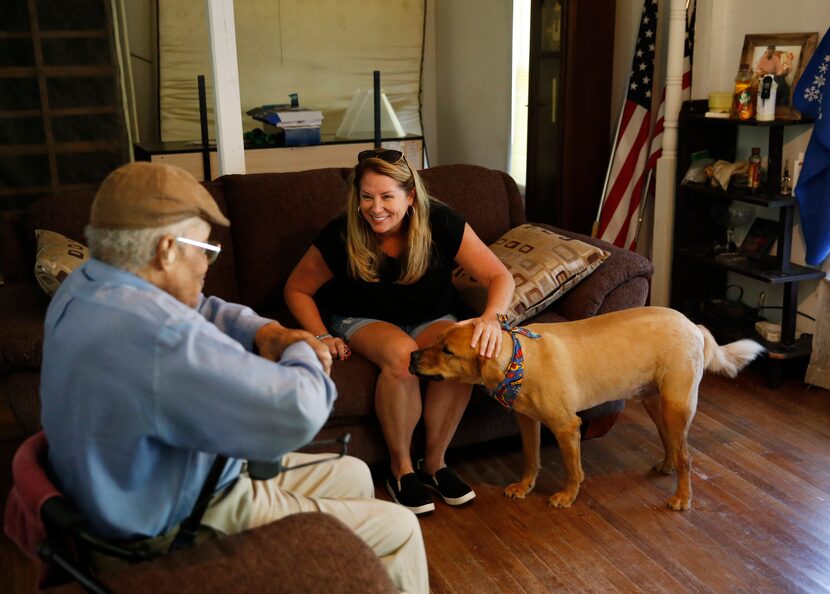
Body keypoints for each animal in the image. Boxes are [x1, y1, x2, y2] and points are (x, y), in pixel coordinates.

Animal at [410, 306, 768, 508]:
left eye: (447, 351)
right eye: (436, 340)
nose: (411, 356)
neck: (517, 358)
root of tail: (694, 325)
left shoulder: (567, 426)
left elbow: (573, 469)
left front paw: (567, 496)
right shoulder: (527, 421)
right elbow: (530, 458)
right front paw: (525, 487)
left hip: (676, 405)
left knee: (687, 457)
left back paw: (682, 498)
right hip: (655, 402)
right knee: (671, 445)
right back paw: (666, 467)